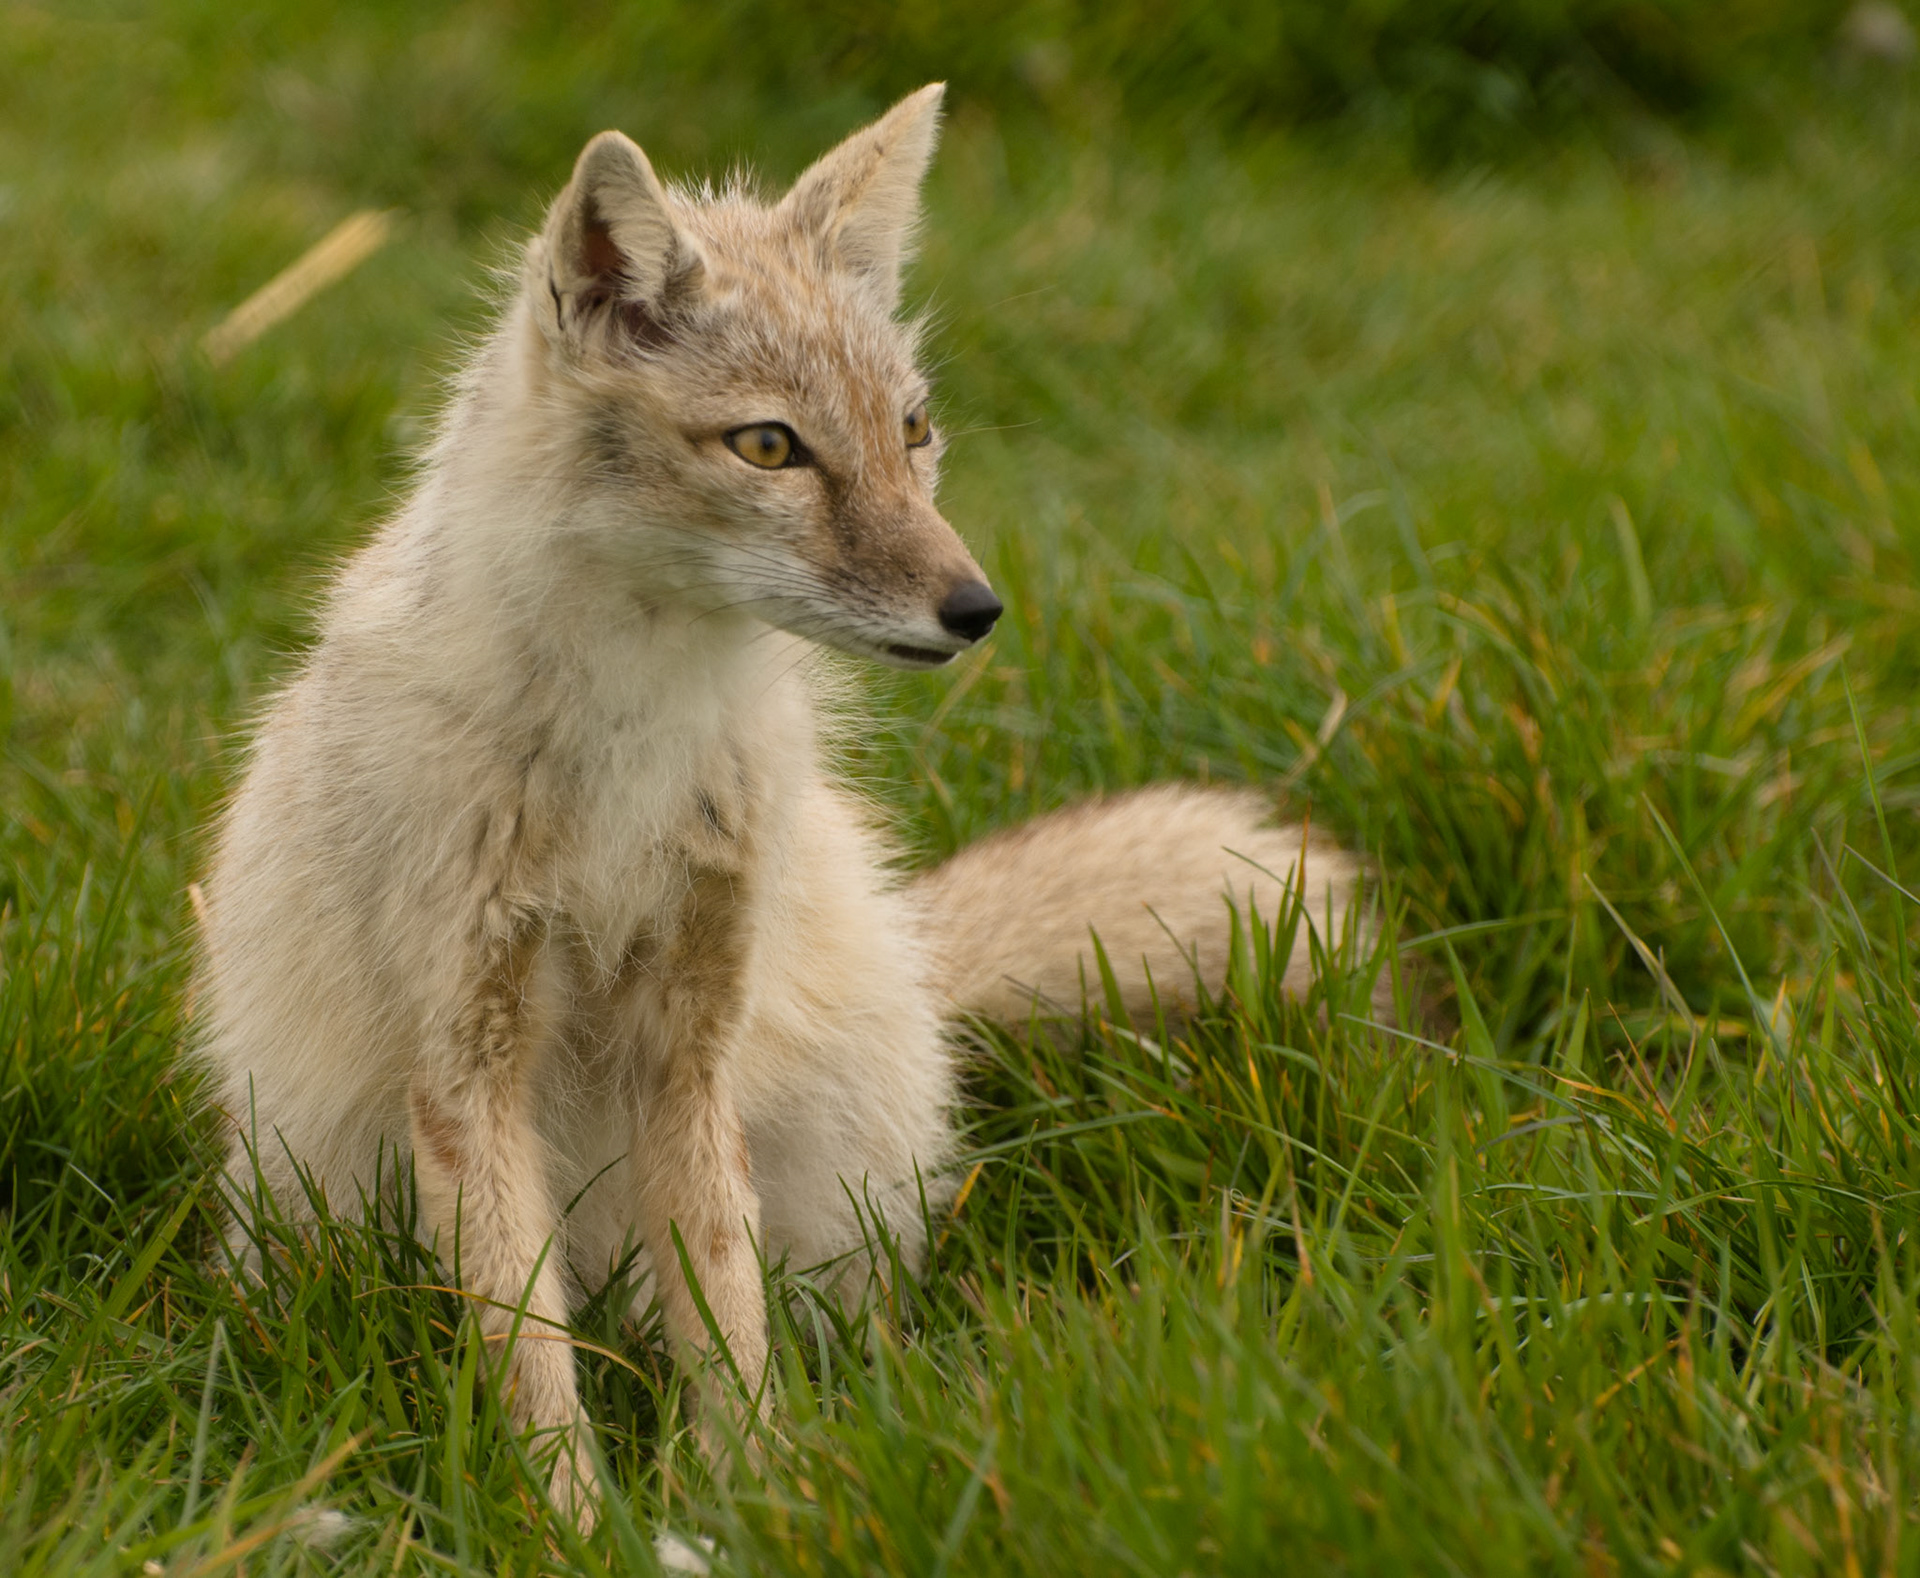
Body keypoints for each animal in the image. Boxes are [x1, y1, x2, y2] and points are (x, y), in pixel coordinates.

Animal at [192, 83, 1383, 1524]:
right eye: (771, 446)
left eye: (912, 431)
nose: (976, 610)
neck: (627, 757)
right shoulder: (467, 1061)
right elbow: (532, 1353)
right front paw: (575, 1526)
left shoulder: (690, 1045)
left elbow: (726, 1307)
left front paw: (750, 1498)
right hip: (311, 1196)